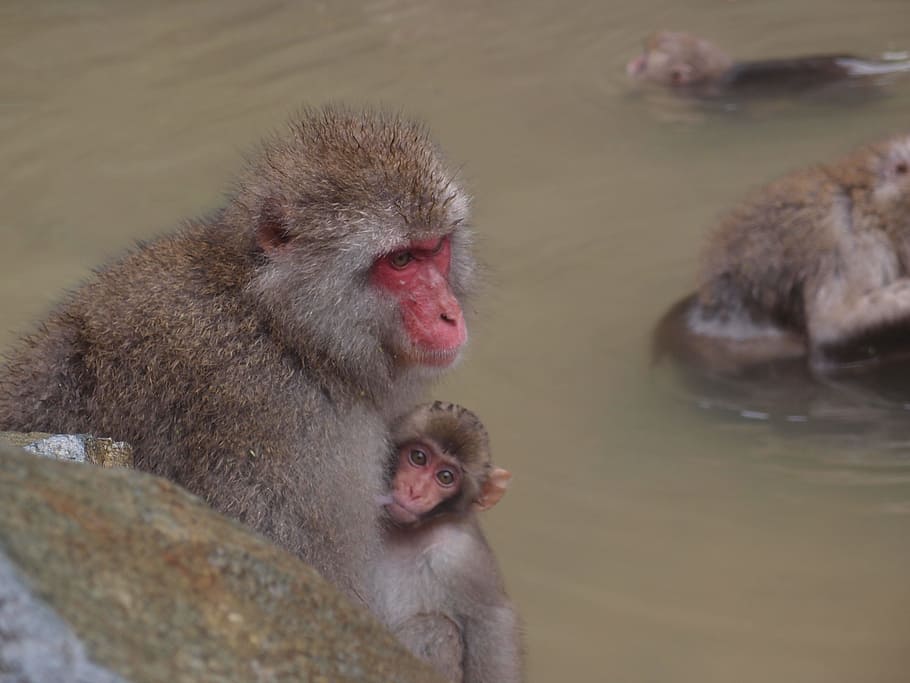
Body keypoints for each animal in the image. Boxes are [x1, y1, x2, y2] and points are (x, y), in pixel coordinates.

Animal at [370, 404, 524, 680]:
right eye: (418, 457)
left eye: (445, 477)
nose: (414, 490)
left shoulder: (461, 558)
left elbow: (494, 624)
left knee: (435, 628)